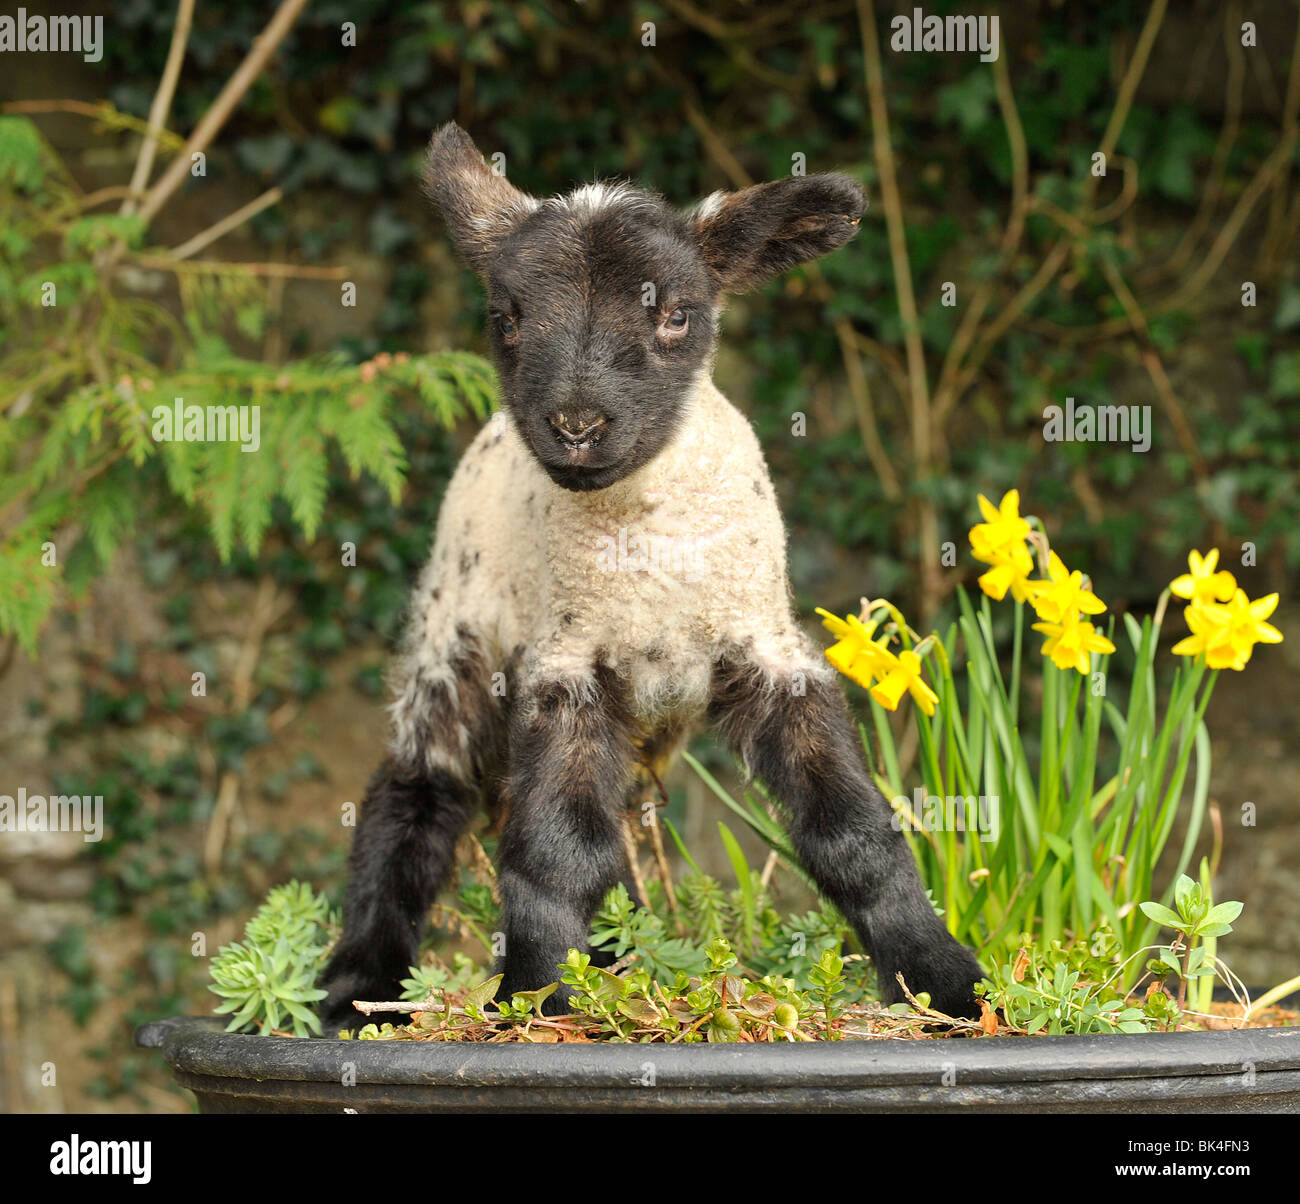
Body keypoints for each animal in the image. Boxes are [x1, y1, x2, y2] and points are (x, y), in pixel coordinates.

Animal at [319, 120, 977, 1029]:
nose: (575, 425)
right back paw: (360, 992)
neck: (651, 566)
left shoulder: (768, 650)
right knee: (418, 790)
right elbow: (556, 853)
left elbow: (851, 831)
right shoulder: (566, 666)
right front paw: (539, 999)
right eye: (505, 317)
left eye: (676, 314)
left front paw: (947, 984)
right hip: (454, 634)